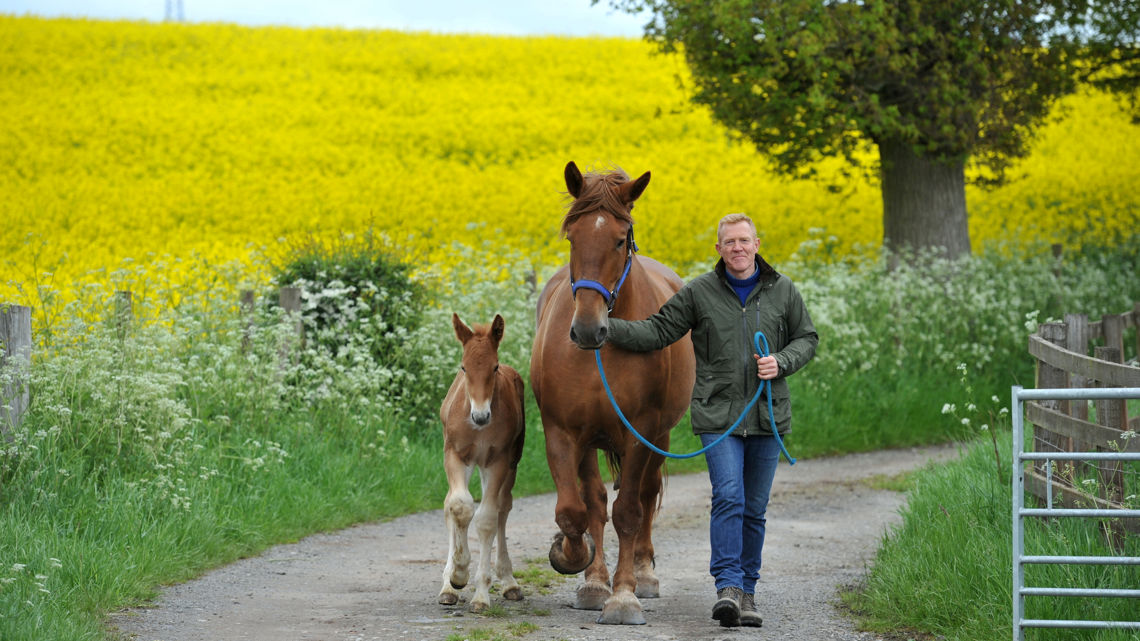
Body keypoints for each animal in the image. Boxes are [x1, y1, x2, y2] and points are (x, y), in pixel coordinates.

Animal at [437, 313, 527, 613]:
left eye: (494, 367)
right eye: (463, 367)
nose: (480, 416)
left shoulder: (497, 461)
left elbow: (487, 518)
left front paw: (480, 594)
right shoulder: (454, 455)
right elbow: (459, 507)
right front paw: (457, 575)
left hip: (510, 463)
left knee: (502, 508)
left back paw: (508, 581)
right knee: (450, 504)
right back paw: (447, 587)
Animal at [529, 162, 696, 625]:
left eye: (620, 239)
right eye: (572, 236)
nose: (588, 329)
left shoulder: (641, 430)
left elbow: (628, 511)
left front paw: (623, 597)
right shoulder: (564, 432)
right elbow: (577, 510)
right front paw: (577, 564)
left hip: (659, 437)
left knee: (646, 494)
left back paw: (642, 574)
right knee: (596, 501)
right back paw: (595, 579)